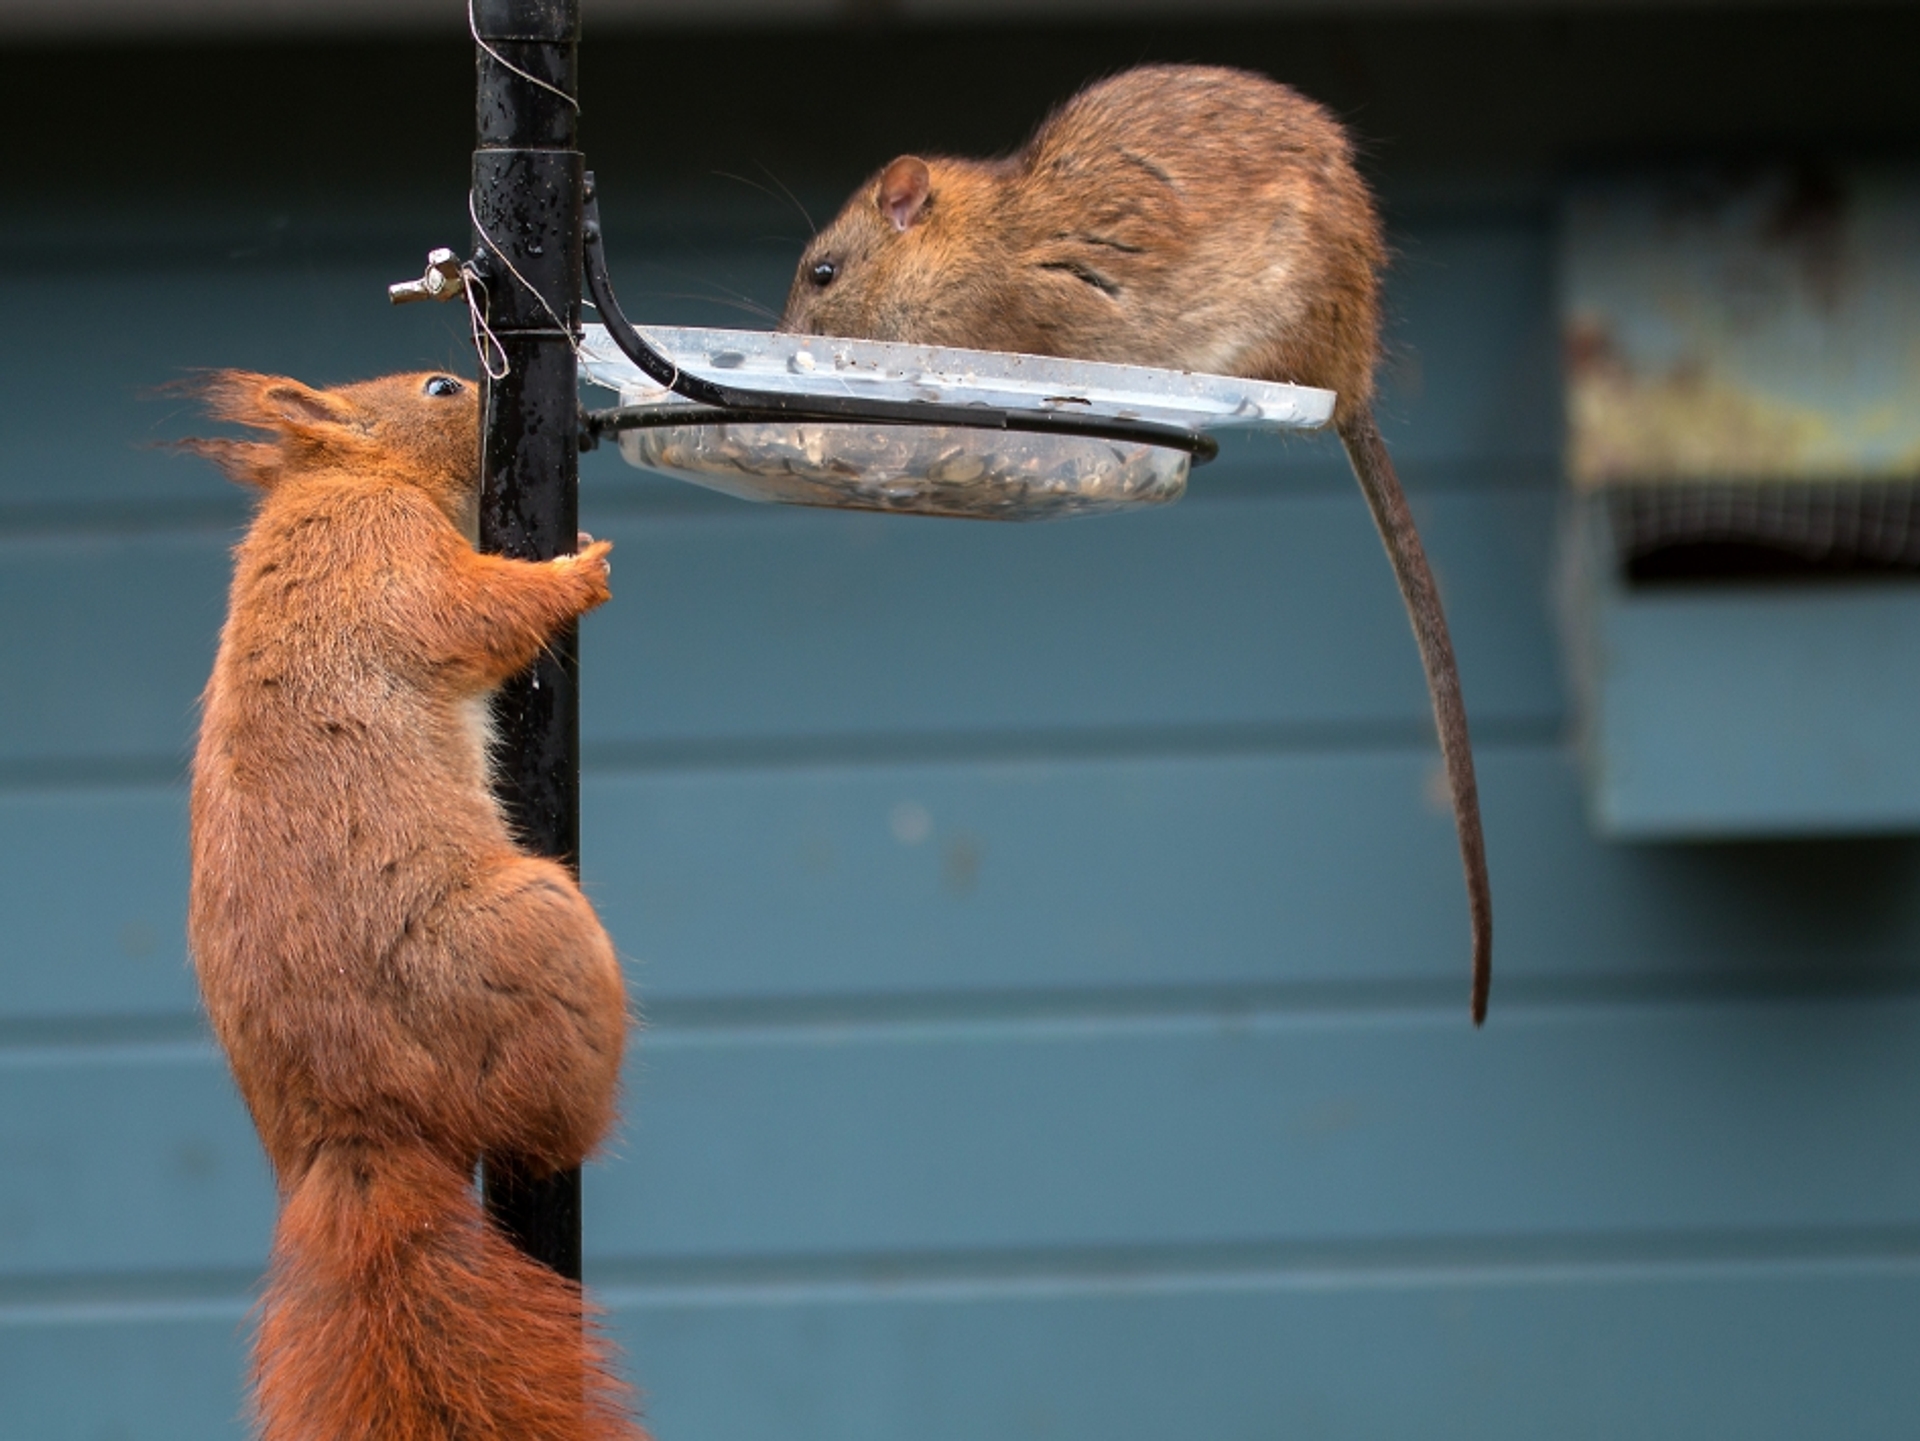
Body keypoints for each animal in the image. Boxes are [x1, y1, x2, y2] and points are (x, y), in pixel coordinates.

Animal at [185, 372, 645, 1441]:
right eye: (440, 388)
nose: (469, 386)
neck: (350, 477)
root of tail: (360, 1117)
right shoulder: (385, 555)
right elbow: (474, 613)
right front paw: (581, 568)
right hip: (540, 932)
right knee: (553, 1130)